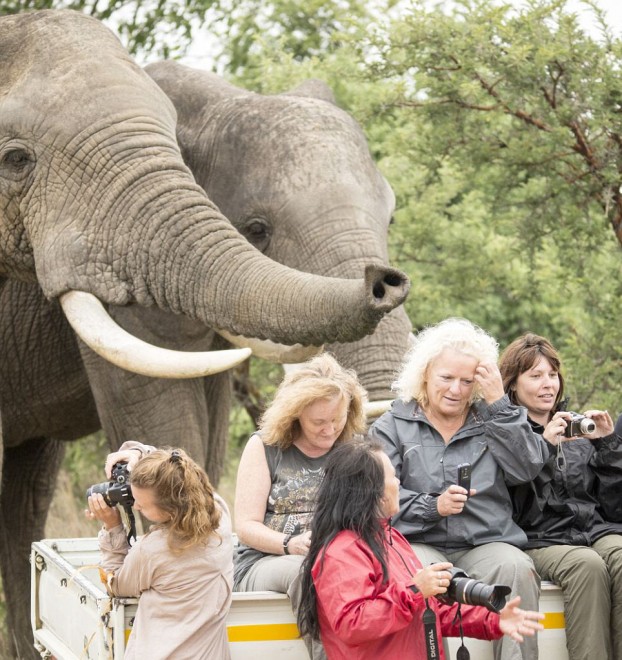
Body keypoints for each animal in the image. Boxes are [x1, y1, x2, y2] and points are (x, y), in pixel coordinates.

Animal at [0, 10, 409, 656]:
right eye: (258, 228)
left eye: (391, 216)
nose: (385, 281)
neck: (219, 97)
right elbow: (161, 410)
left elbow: (209, 434)